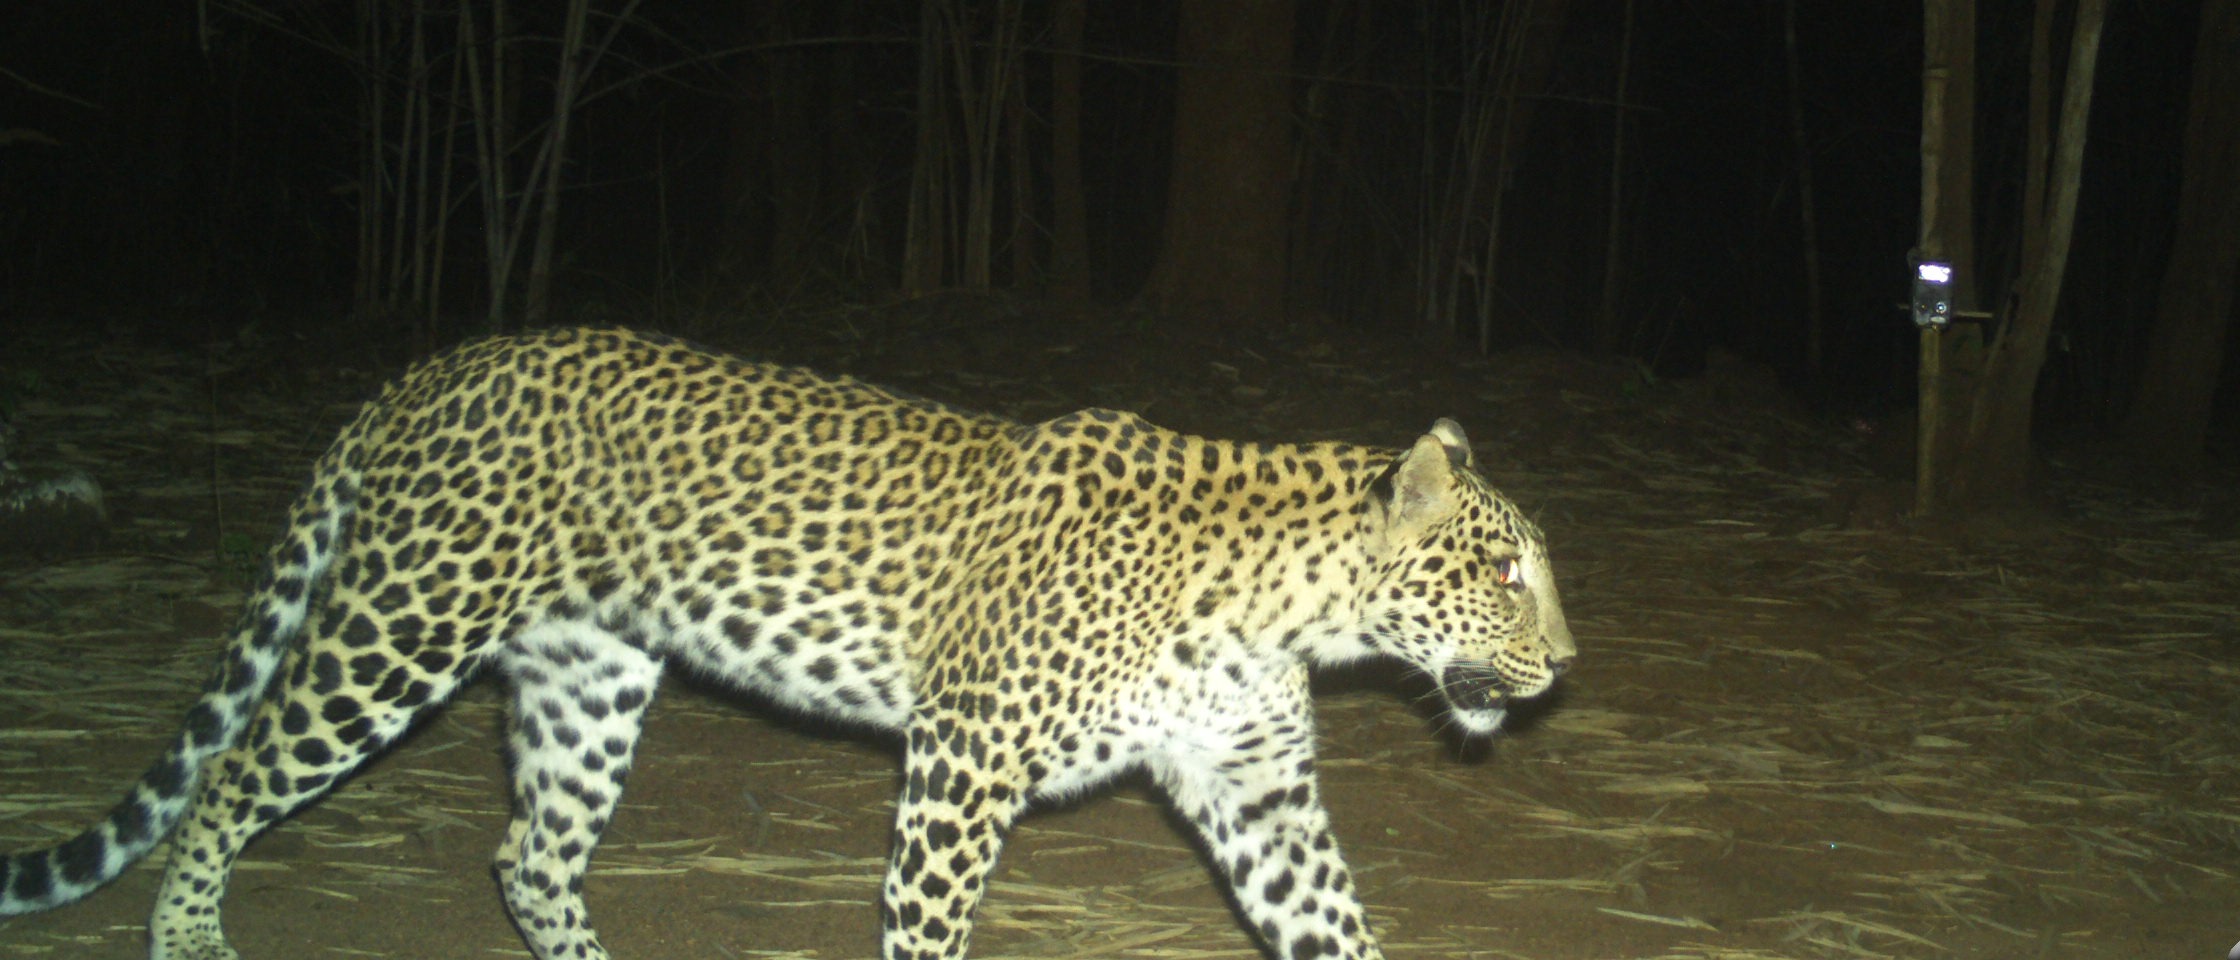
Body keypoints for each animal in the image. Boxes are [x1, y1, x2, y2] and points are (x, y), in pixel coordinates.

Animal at [0, 327, 1575, 960]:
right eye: (1501, 567)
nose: (1565, 668)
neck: (1286, 606)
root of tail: (432, 371)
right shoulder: (961, 764)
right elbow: (925, 927)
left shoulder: (1256, 791)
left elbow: (1332, 927)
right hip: (400, 624)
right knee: (232, 778)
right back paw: (190, 934)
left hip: (587, 679)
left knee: (527, 852)